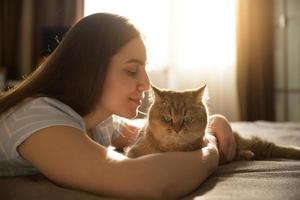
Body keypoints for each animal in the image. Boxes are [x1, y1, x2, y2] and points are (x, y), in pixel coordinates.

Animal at [125, 85, 300, 160]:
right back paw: (247, 154)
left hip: (250, 142)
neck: (173, 149)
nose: (177, 129)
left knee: (270, 147)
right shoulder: (132, 152)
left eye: (187, 119)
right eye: (167, 119)